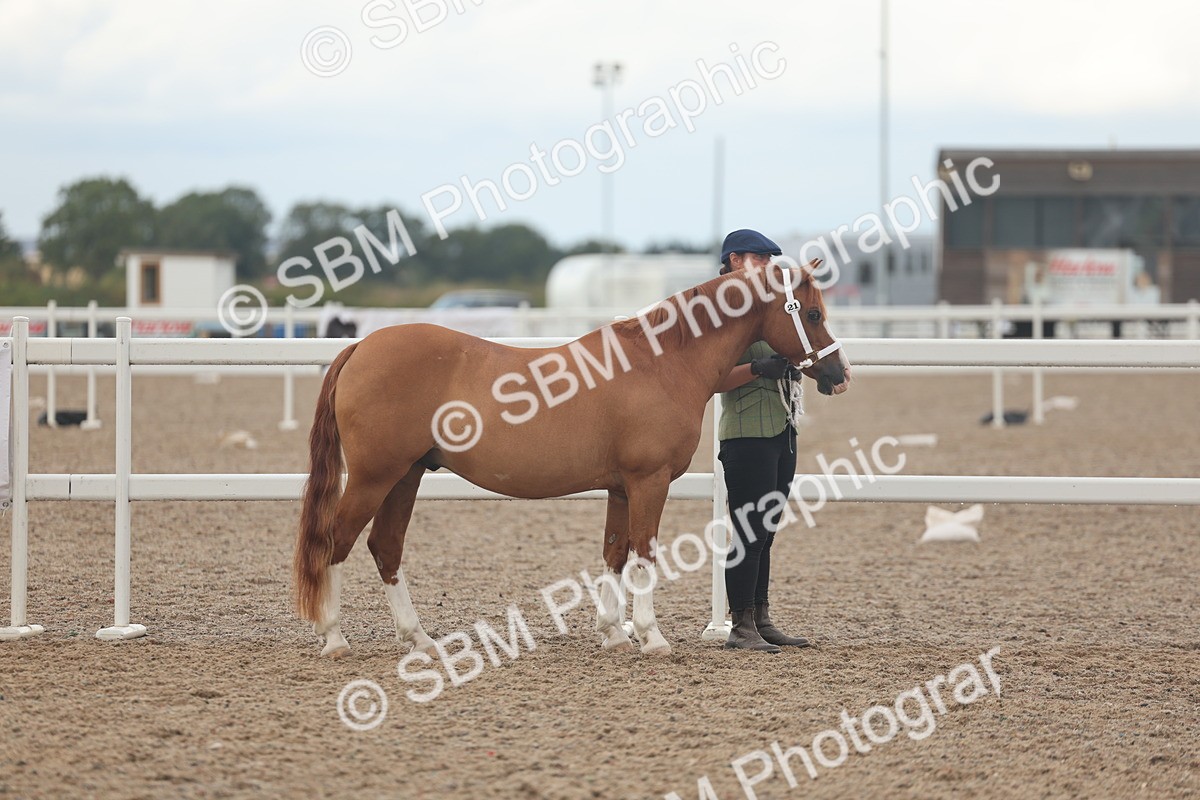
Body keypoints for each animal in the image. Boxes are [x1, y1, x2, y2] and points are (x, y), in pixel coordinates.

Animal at [293, 261, 846, 658]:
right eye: (813, 314)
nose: (838, 375)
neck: (663, 362)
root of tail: (362, 345)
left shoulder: (622, 486)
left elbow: (615, 554)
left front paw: (615, 633)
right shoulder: (649, 481)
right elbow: (645, 552)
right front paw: (652, 637)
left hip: (405, 476)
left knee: (385, 547)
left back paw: (421, 640)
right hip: (374, 476)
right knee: (337, 541)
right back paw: (335, 638)